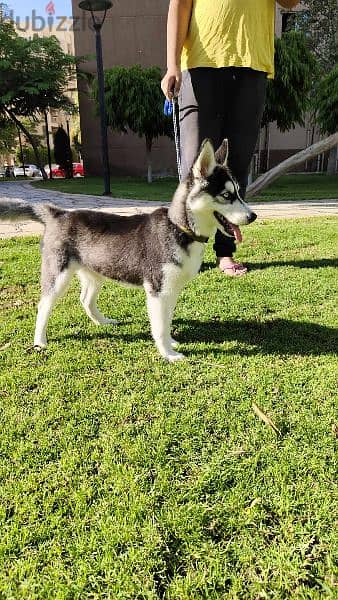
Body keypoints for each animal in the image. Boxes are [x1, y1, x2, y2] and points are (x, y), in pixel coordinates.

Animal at [0, 141, 256, 360]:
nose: (253, 216)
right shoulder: (157, 291)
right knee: (43, 305)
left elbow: (167, 321)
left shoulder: (171, 290)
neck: (179, 228)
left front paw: (171, 342)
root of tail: (58, 213)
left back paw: (102, 322)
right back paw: (40, 341)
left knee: (85, 300)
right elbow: (159, 326)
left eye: (239, 192)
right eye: (226, 195)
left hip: (95, 273)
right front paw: (168, 354)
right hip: (58, 276)